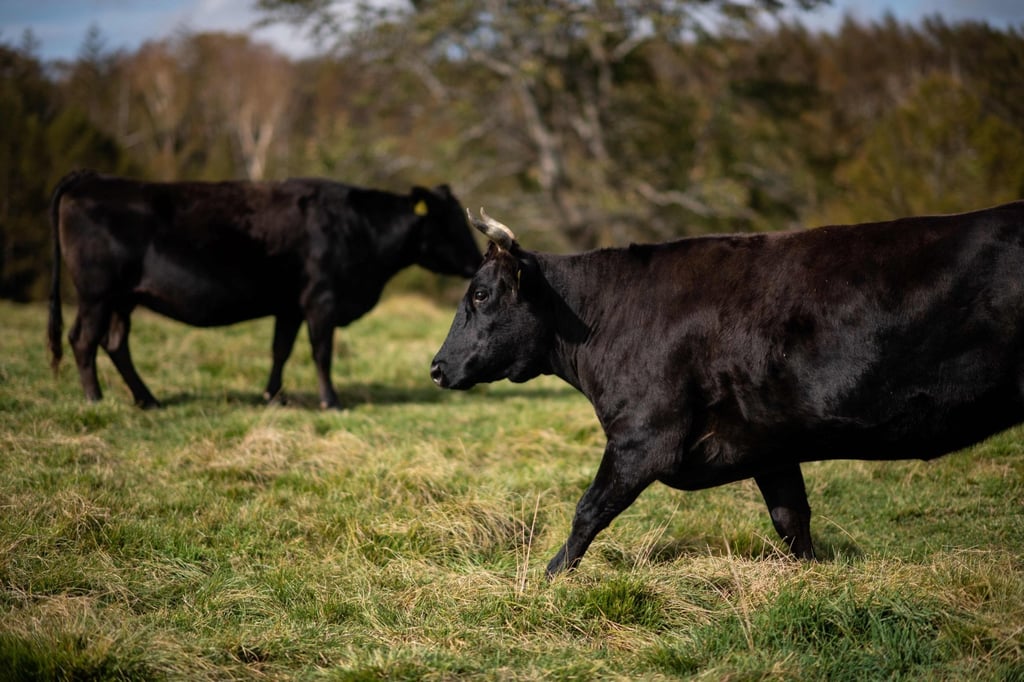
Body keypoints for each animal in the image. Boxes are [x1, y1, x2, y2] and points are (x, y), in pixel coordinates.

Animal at [48, 170, 482, 408]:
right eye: (449, 222)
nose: (477, 262)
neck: (357, 227)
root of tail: (92, 179)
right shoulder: (321, 301)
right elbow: (321, 353)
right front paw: (331, 401)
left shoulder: (289, 305)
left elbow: (280, 351)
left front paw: (273, 396)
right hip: (97, 294)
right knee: (83, 340)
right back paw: (95, 398)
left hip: (123, 299)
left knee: (115, 343)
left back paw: (147, 399)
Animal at [431, 205, 1024, 577]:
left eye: (480, 294)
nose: (436, 367)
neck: (605, 319)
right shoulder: (771, 444)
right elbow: (792, 520)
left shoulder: (644, 436)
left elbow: (588, 510)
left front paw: (547, 577)